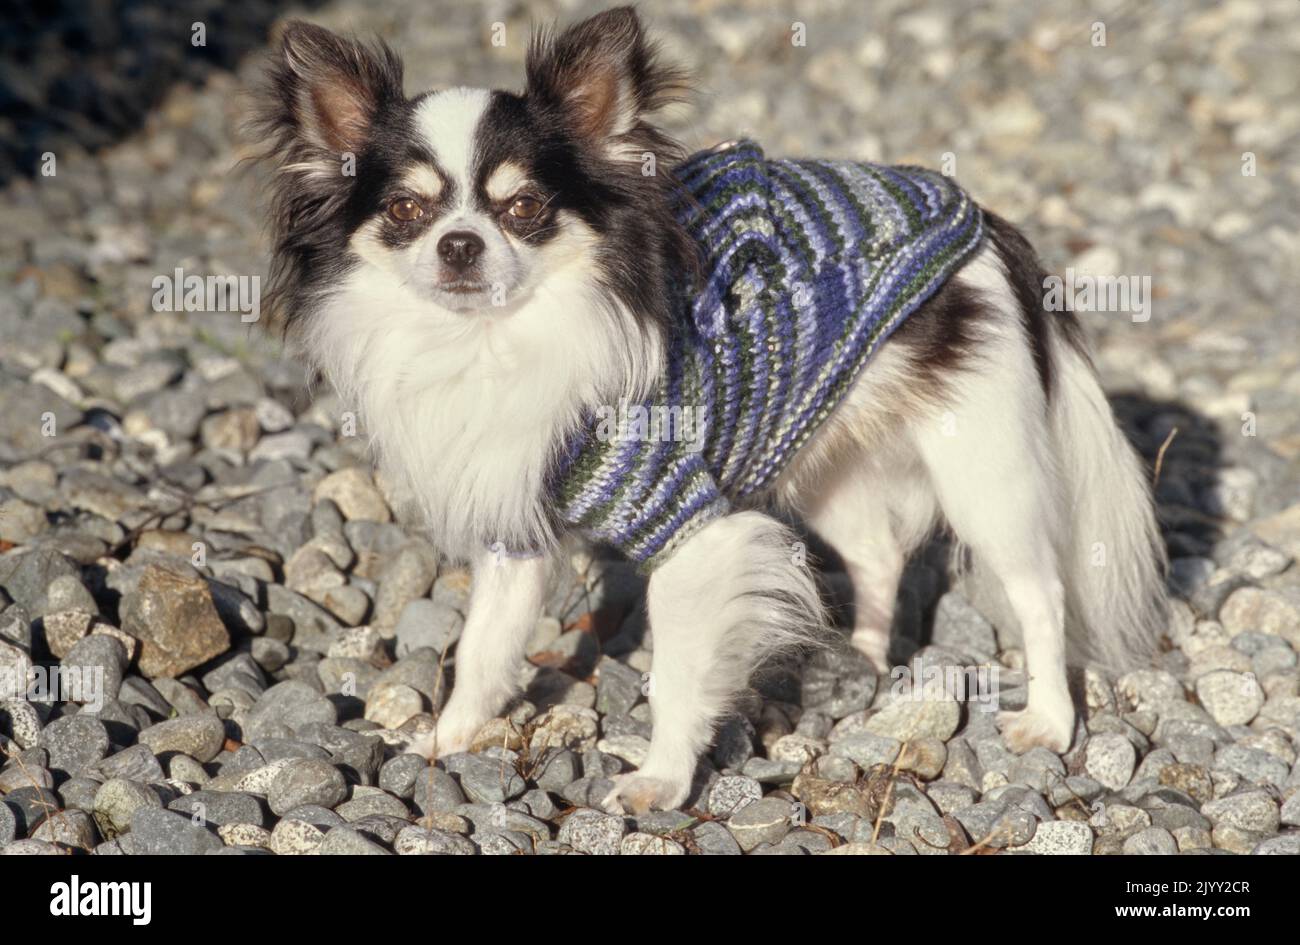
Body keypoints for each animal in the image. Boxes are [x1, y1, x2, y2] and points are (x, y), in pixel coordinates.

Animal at [248, 5, 1164, 811]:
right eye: (405, 210)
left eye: (525, 209)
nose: (460, 244)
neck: (492, 342)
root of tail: (987, 227)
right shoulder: (518, 526)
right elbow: (483, 645)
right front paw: (448, 738)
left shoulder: (686, 523)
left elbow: (679, 671)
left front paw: (659, 779)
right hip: (819, 446)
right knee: (876, 555)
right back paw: (863, 659)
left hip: (981, 465)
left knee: (1040, 589)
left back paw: (1048, 720)